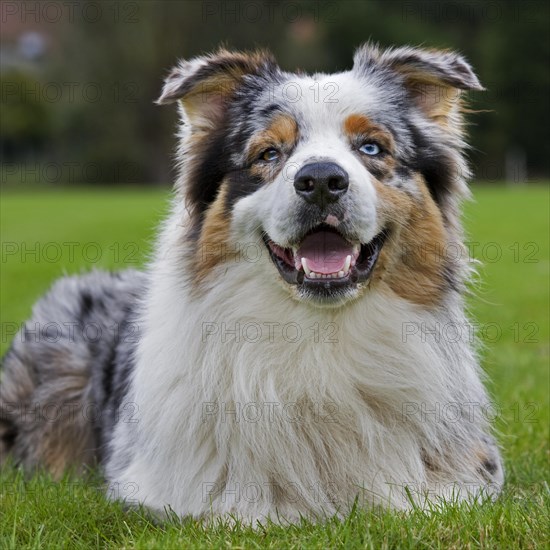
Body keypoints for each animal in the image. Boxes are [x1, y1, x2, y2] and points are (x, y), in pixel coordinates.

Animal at [0, 44, 504, 528]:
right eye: (269, 154)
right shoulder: (163, 485)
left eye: (371, 148)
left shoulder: (463, 475)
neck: (316, 333)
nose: (322, 179)